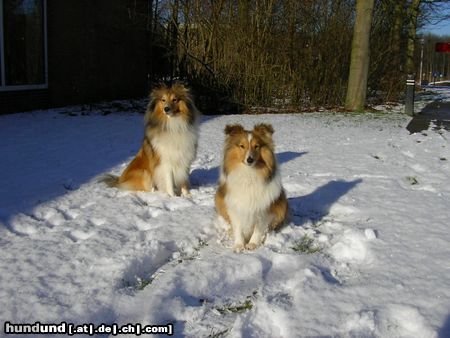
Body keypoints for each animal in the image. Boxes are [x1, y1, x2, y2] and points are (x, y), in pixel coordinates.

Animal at [215, 123, 288, 251]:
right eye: (242, 146)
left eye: (256, 146)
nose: (250, 159)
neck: (249, 174)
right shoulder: (236, 206)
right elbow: (238, 227)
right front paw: (239, 245)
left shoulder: (263, 209)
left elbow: (258, 229)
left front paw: (252, 244)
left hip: (282, 203)